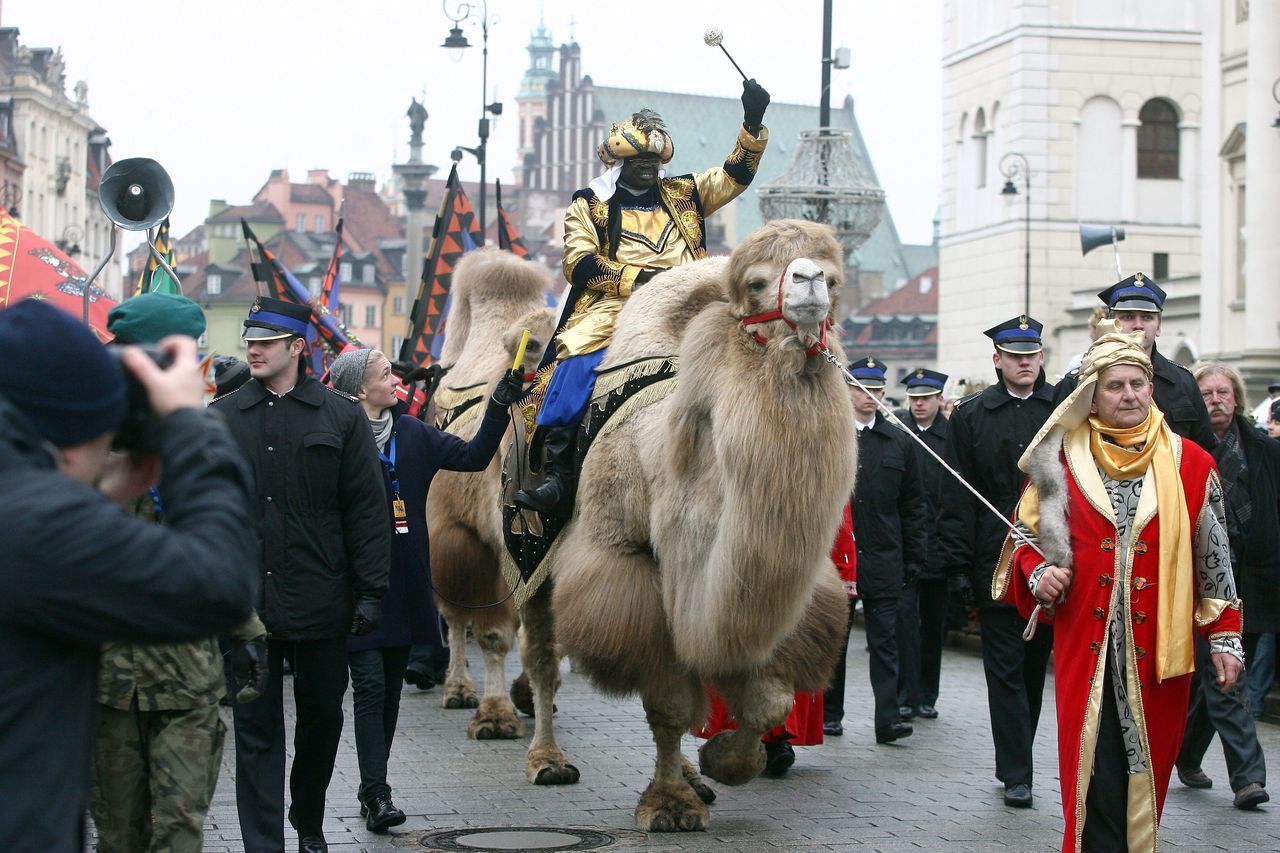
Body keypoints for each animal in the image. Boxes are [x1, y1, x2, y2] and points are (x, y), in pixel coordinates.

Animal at [424, 245, 555, 737]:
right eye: (531, 345)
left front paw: (527, 695)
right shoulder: (483, 544)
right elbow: (494, 633)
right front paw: (495, 715)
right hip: (449, 536)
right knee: (455, 616)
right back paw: (459, 689)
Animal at [512, 216, 860, 824]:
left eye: (835, 278)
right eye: (756, 282)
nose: (811, 282)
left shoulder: (757, 584)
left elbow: (769, 698)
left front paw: (725, 762)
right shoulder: (631, 567)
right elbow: (671, 703)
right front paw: (669, 806)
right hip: (532, 561)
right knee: (542, 662)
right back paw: (548, 761)